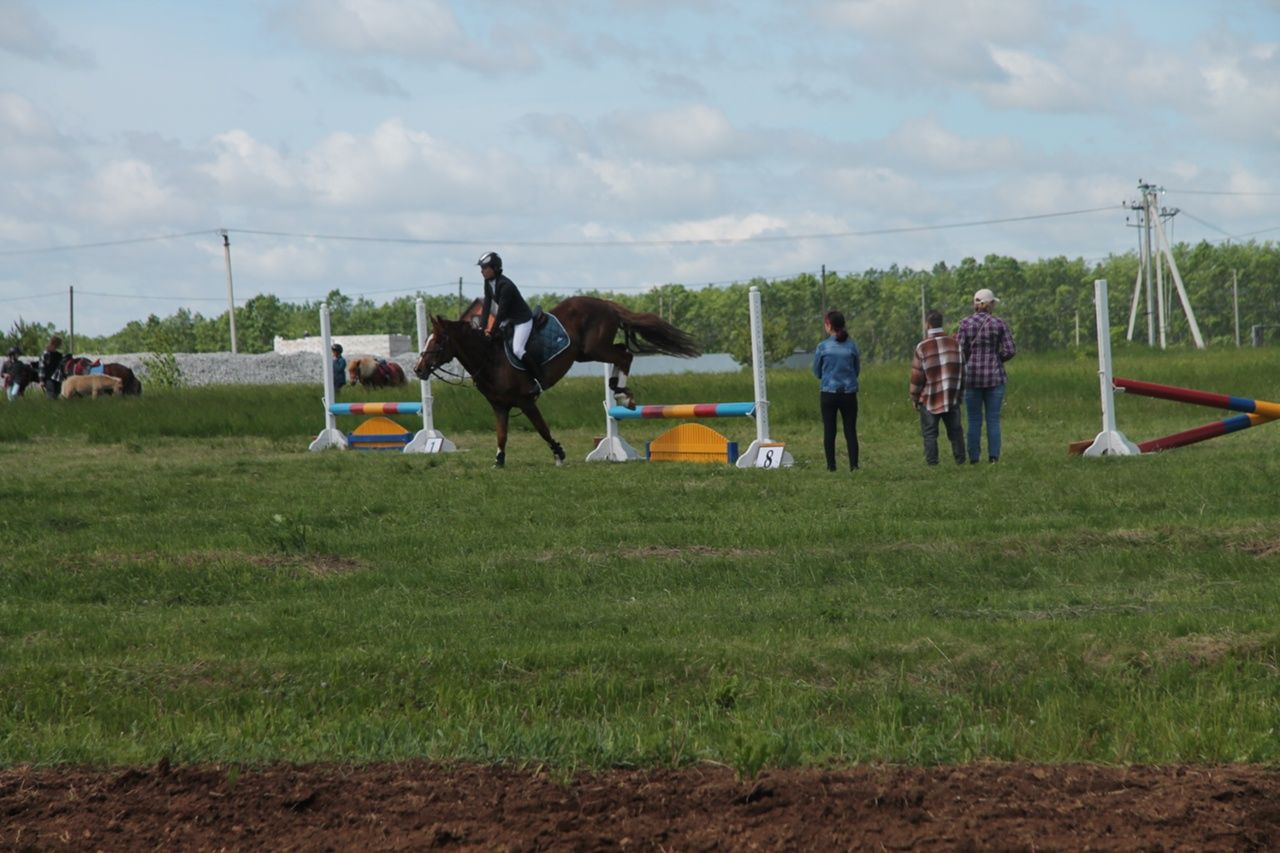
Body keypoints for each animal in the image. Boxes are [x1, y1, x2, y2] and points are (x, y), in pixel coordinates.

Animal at [414, 292, 701, 466]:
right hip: (587, 353)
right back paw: (618, 390)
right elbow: (501, 435)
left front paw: (559, 454)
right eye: (426, 339)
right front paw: (499, 461)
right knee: (623, 351)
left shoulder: (526, 401)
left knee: (625, 355)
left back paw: (622, 394)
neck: (490, 358)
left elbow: (542, 429)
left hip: (595, 348)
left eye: (438, 342)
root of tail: (603, 302)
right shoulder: (499, 406)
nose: (418, 369)